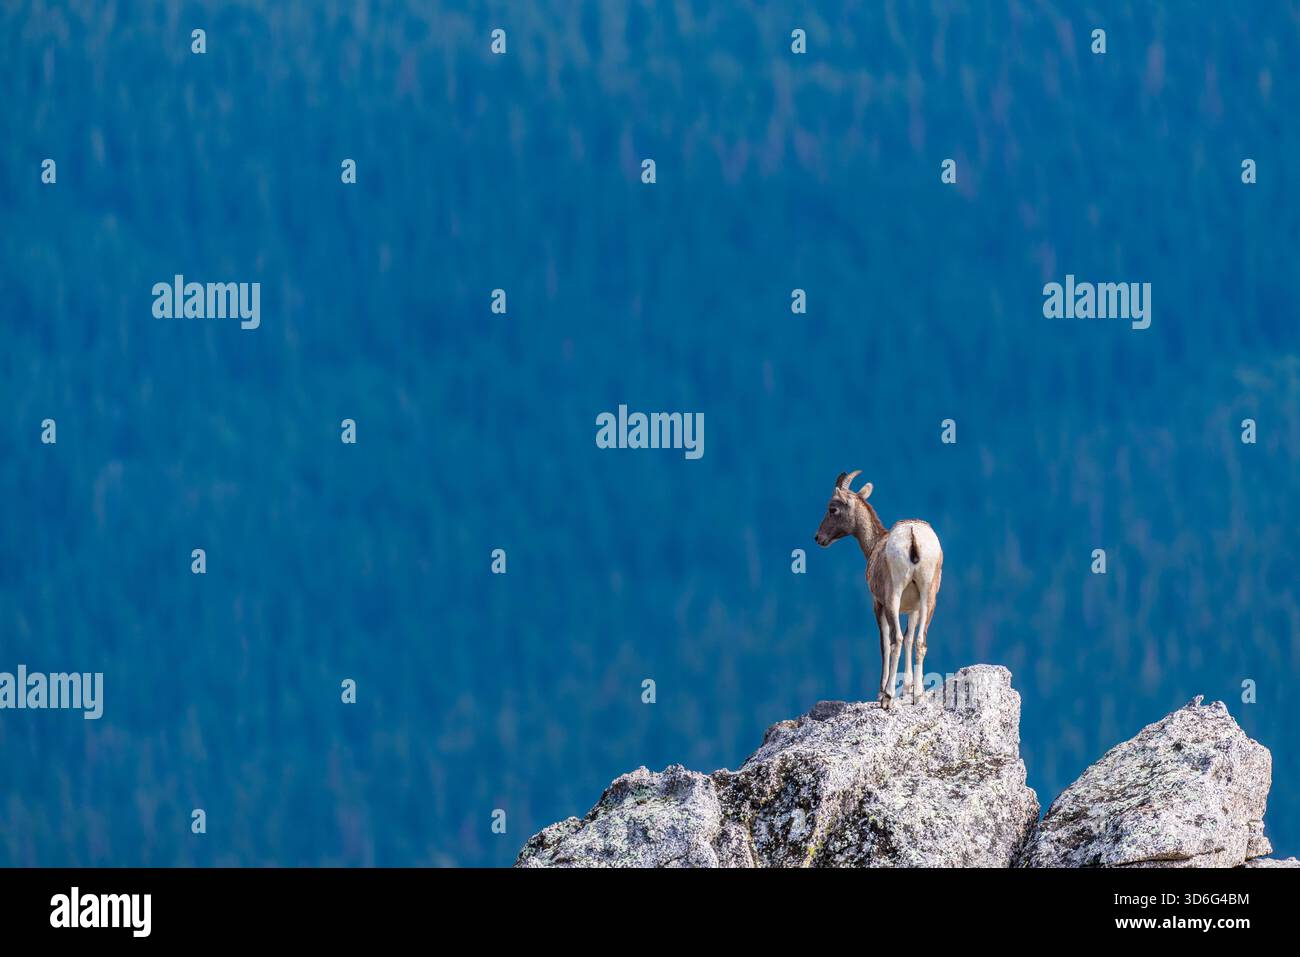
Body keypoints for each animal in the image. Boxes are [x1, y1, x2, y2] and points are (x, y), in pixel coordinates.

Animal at [813, 470, 943, 709]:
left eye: (832, 508)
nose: (818, 537)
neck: (875, 544)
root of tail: (913, 536)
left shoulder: (878, 604)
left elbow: (885, 643)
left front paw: (882, 693)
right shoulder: (913, 609)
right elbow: (910, 639)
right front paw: (908, 691)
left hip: (893, 595)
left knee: (896, 640)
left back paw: (888, 697)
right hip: (929, 597)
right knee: (919, 641)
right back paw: (919, 696)